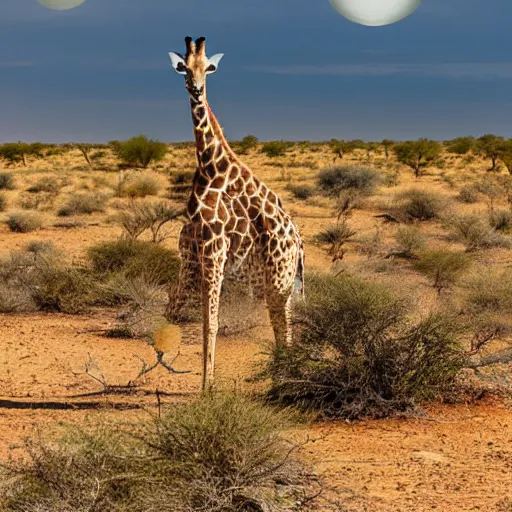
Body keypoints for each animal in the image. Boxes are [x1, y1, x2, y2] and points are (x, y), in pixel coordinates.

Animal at [167, 36, 304, 388]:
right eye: (184, 68)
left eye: (208, 68)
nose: (197, 89)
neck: (209, 167)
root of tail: (299, 244)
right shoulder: (192, 254)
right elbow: (184, 315)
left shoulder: (214, 250)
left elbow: (210, 322)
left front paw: (207, 388)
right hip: (281, 281)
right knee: (284, 322)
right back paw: (282, 378)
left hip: (278, 278)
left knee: (282, 323)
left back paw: (283, 380)